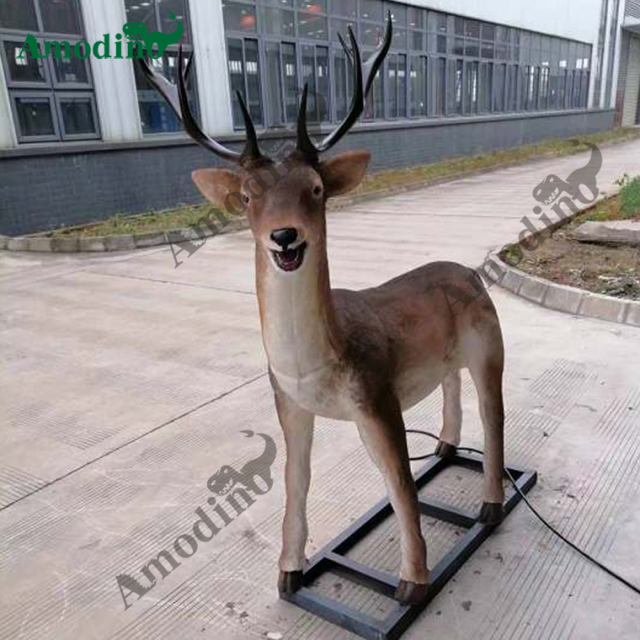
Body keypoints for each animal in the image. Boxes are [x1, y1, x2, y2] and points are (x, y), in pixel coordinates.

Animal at [138, 16, 505, 606]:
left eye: (315, 189)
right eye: (247, 197)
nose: (285, 236)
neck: (317, 365)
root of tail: (470, 271)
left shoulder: (377, 399)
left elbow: (400, 484)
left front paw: (412, 582)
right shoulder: (289, 404)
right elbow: (296, 478)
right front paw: (289, 571)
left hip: (490, 345)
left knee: (494, 416)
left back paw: (491, 506)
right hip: (449, 359)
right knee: (452, 389)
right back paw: (446, 447)